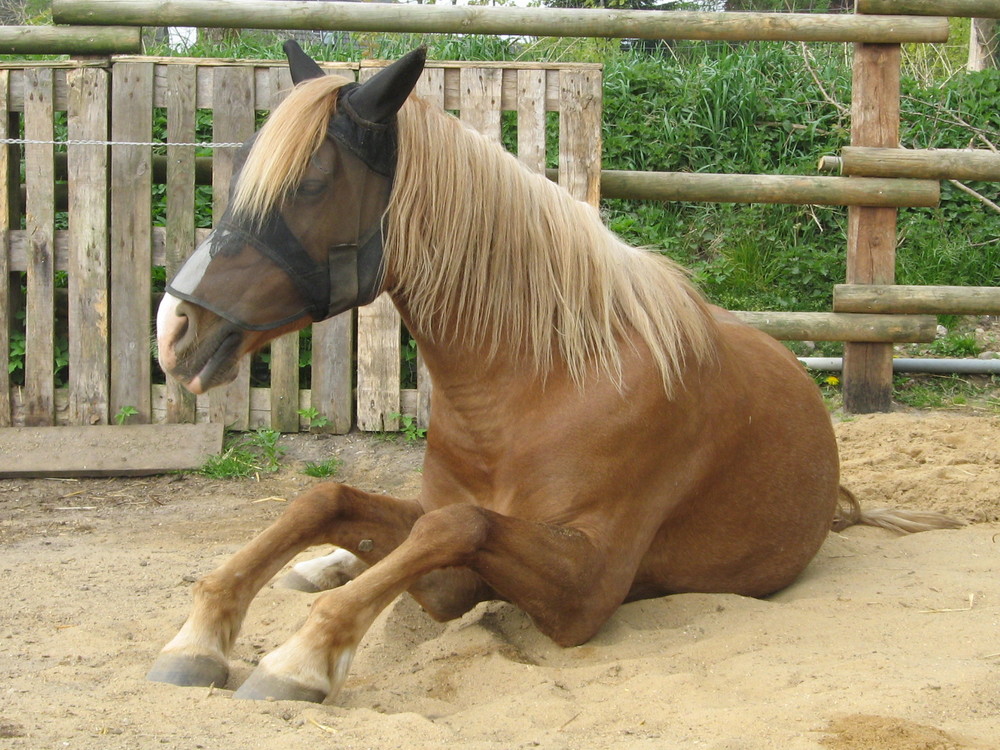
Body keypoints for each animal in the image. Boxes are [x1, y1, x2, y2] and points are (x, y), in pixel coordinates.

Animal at [150, 44, 960, 708]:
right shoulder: (463, 563)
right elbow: (326, 498)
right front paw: (199, 636)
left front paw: (300, 659)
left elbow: (454, 525)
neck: (533, 388)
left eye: (312, 183)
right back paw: (323, 566)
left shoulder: (582, 587)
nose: (174, 331)